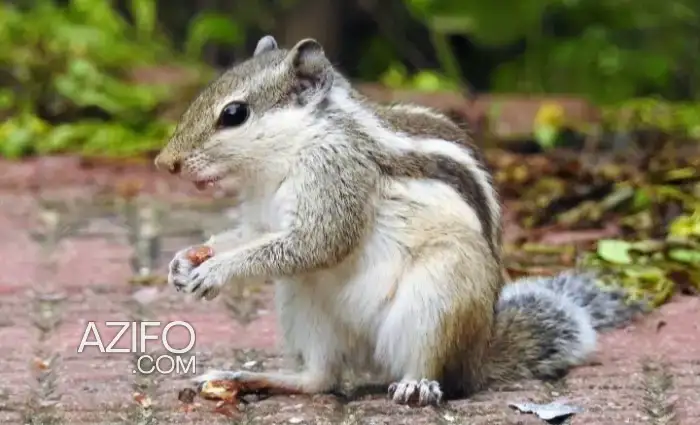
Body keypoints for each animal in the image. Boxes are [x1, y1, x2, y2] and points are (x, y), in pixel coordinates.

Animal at [154, 35, 649, 406]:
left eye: (234, 113)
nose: (165, 163)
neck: (287, 154)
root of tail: (479, 357)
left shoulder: (337, 174)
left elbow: (318, 242)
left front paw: (216, 270)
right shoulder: (262, 218)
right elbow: (252, 236)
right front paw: (187, 259)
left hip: (441, 296)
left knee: (432, 369)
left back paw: (417, 385)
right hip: (301, 302)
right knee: (322, 379)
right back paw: (251, 378)